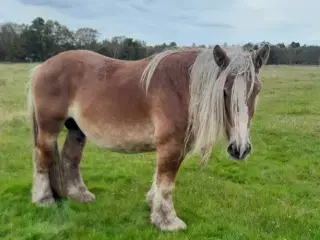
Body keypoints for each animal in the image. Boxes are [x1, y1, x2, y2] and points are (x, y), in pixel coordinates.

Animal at [28, 44, 270, 232]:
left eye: (256, 90)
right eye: (224, 91)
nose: (239, 149)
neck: (183, 87)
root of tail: (42, 67)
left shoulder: (174, 147)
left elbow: (158, 179)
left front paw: (152, 206)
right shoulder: (171, 146)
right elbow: (166, 183)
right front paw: (167, 221)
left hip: (76, 130)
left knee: (71, 158)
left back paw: (80, 195)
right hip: (49, 128)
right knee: (43, 158)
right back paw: (44, 200)